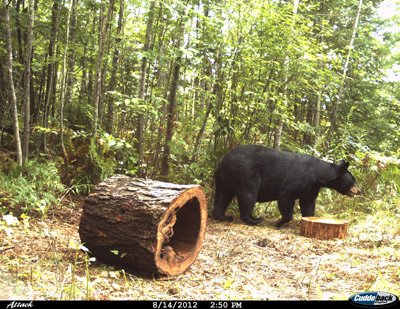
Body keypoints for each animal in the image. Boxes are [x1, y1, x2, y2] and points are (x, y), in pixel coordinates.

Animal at [212, 144, 362, 226]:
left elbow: (308, 204)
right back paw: (254, 219)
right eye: (353, 179)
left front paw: (310, 218)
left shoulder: (312, 188)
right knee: (248, 194)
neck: (318, 175)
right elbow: (286, 197)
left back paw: (223, 216)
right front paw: (279, 222)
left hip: (224, 178)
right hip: (245, 172)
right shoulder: (297, 181)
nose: (359, 191)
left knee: (223, 195)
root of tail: (224, 160)